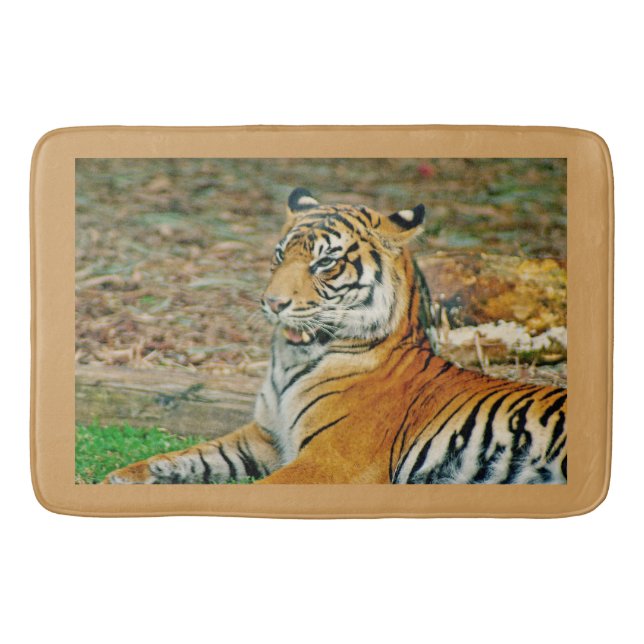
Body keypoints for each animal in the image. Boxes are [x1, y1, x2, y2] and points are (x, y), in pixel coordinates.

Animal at [104, 188, 567, 484]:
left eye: (325, 262)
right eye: (279, 255)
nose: (272, 302)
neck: (289, 364)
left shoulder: (331, 461)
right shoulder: (264, 437)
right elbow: (190, 455)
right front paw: (124, 477)